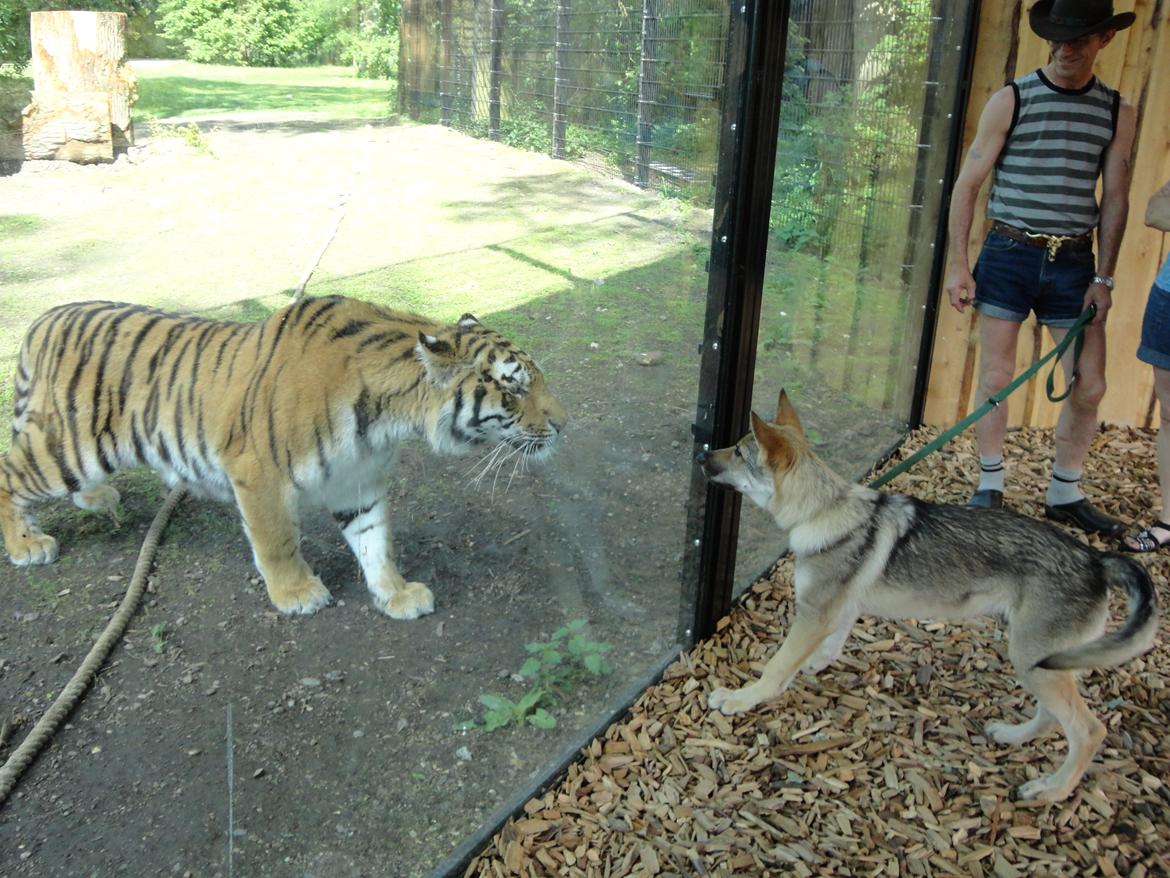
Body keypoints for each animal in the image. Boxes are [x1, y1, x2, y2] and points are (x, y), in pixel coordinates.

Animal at [0, 296, 566, 618]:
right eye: (514, 388)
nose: (564, 424)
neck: (386, 419)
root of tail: (44, 319)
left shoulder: (357, 482)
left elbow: (375, 542)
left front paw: (396, 595)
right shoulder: (258, 475)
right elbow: (277, 542)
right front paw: (296, 594)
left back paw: (96, 499)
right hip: (69, 447)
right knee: (9, 475)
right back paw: (28, 544)